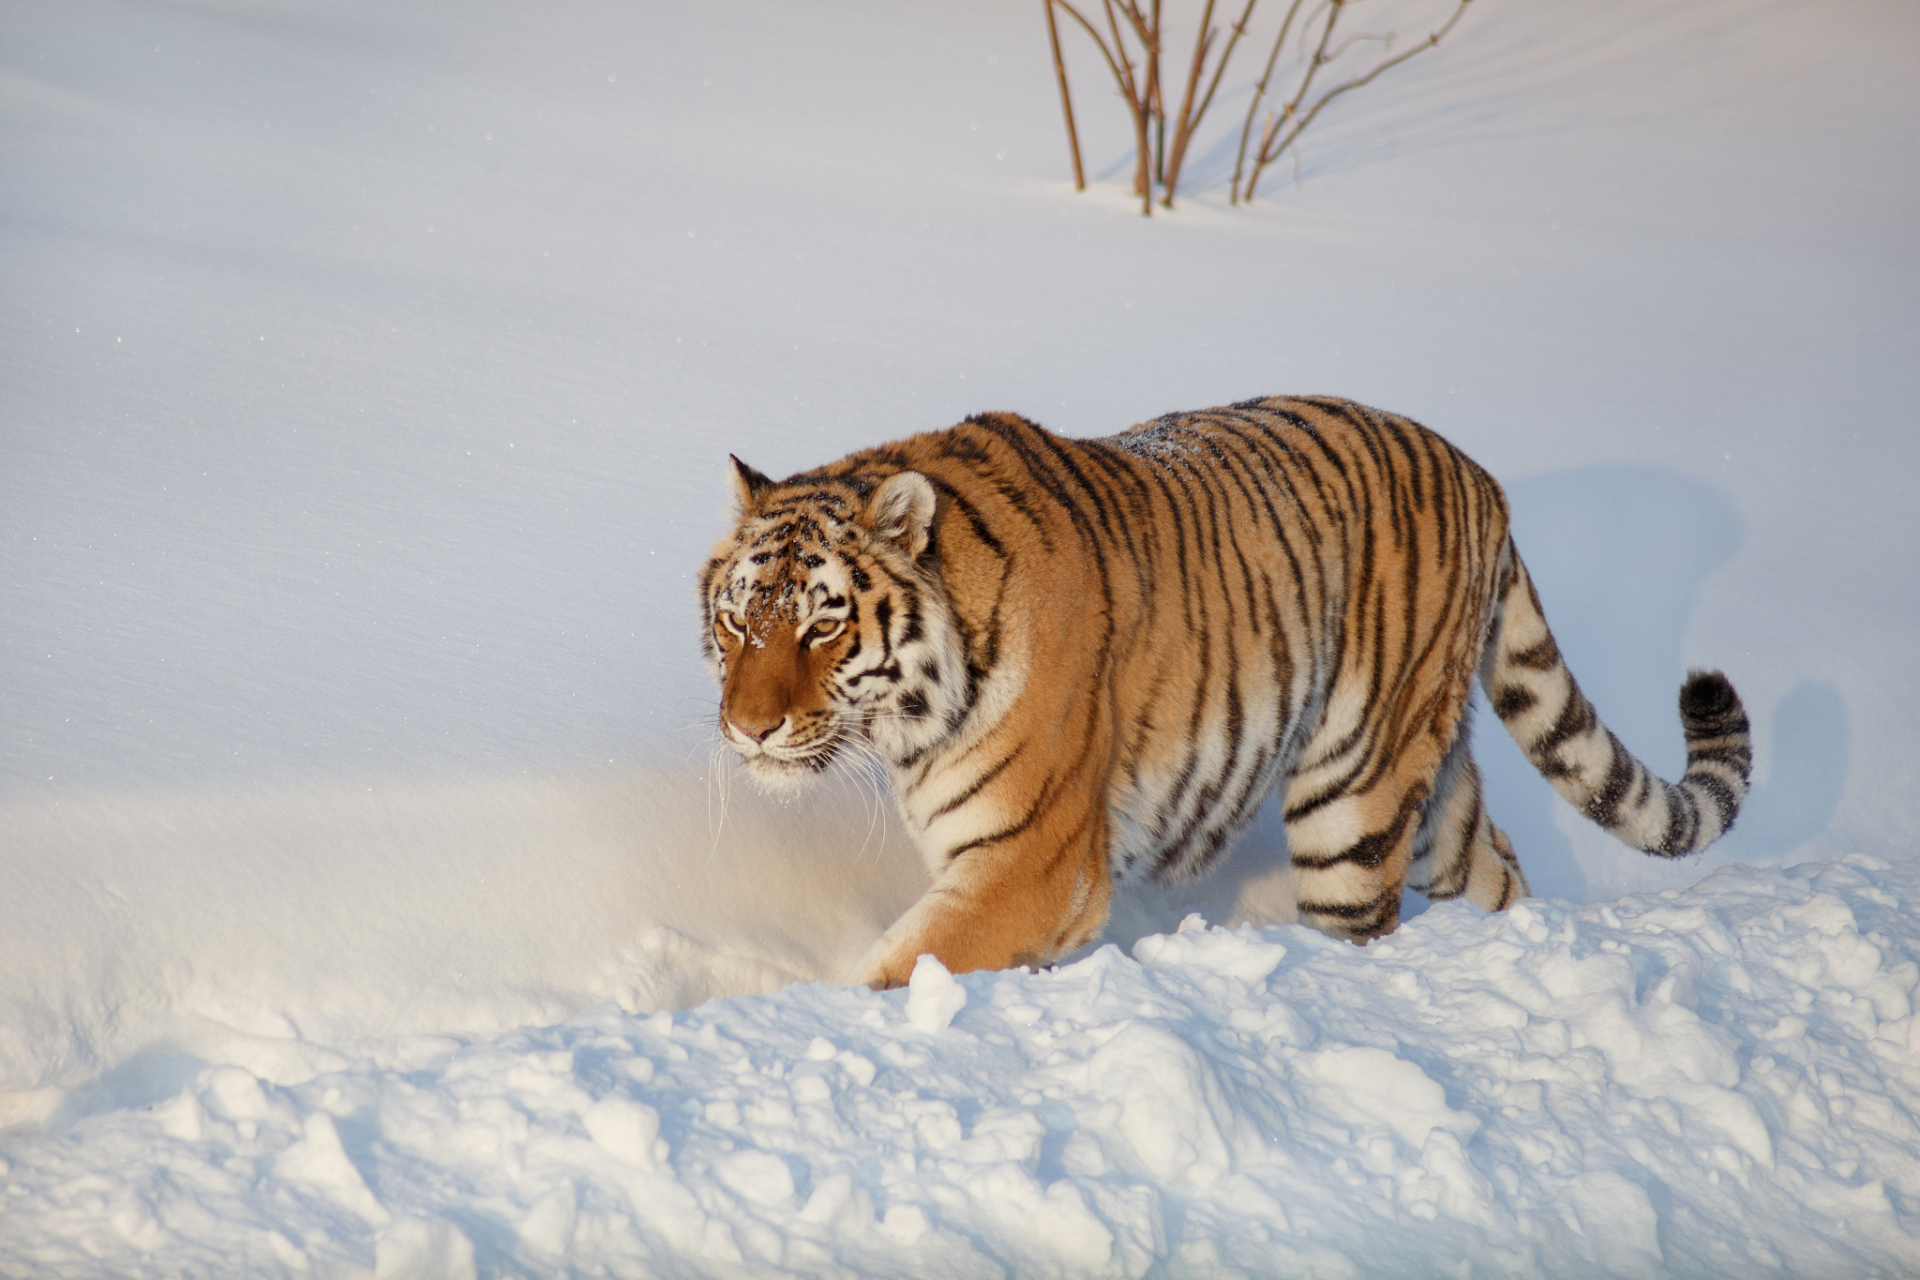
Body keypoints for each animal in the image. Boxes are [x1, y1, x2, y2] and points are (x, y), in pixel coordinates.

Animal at [706, 397, 1758, 990]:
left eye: (822, 627)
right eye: (738, 620)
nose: (749, 730)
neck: (910, 720)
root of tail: (1482, 477)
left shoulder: (1029, 865)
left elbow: (888, 975)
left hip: (1354, 798)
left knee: (1361, 921)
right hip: (1436, 806)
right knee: (1496, 871)